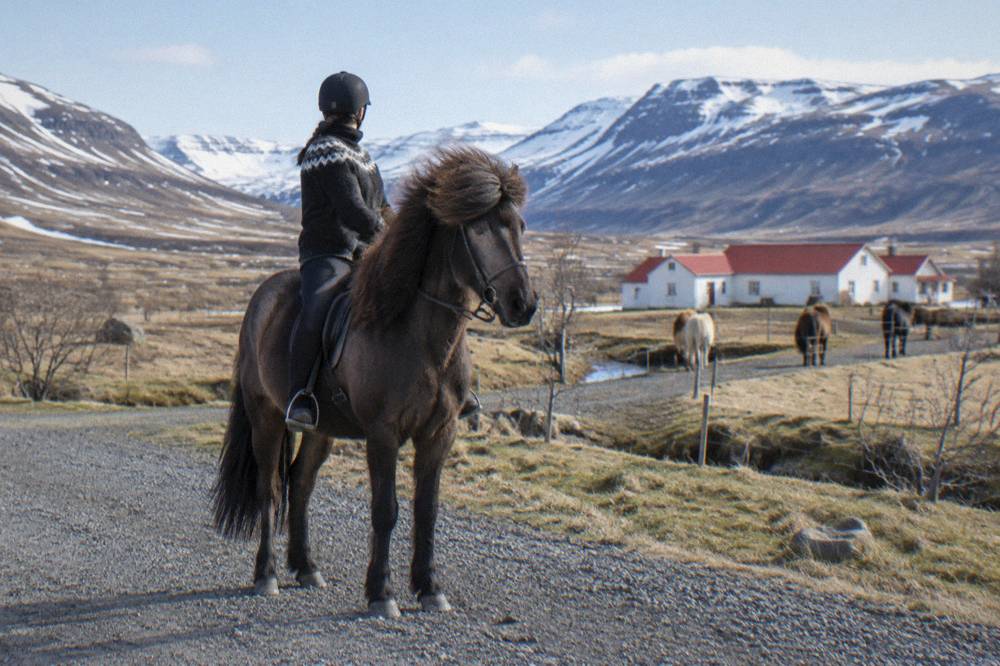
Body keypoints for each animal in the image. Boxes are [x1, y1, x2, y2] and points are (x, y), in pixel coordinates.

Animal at [211, 147, 536, 618]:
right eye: (477, 227)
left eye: (520, 226)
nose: (523, 304)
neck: (419, 335)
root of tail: (260, 299)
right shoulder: (384, 433)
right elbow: (386, 509)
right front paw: (382, 593)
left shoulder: (440, 432)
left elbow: (427, 509)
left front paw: (430, 587)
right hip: (265, 416)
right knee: (269, 488)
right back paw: (266, 575)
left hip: (321, 428)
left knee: (300, 482)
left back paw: (306, 567)